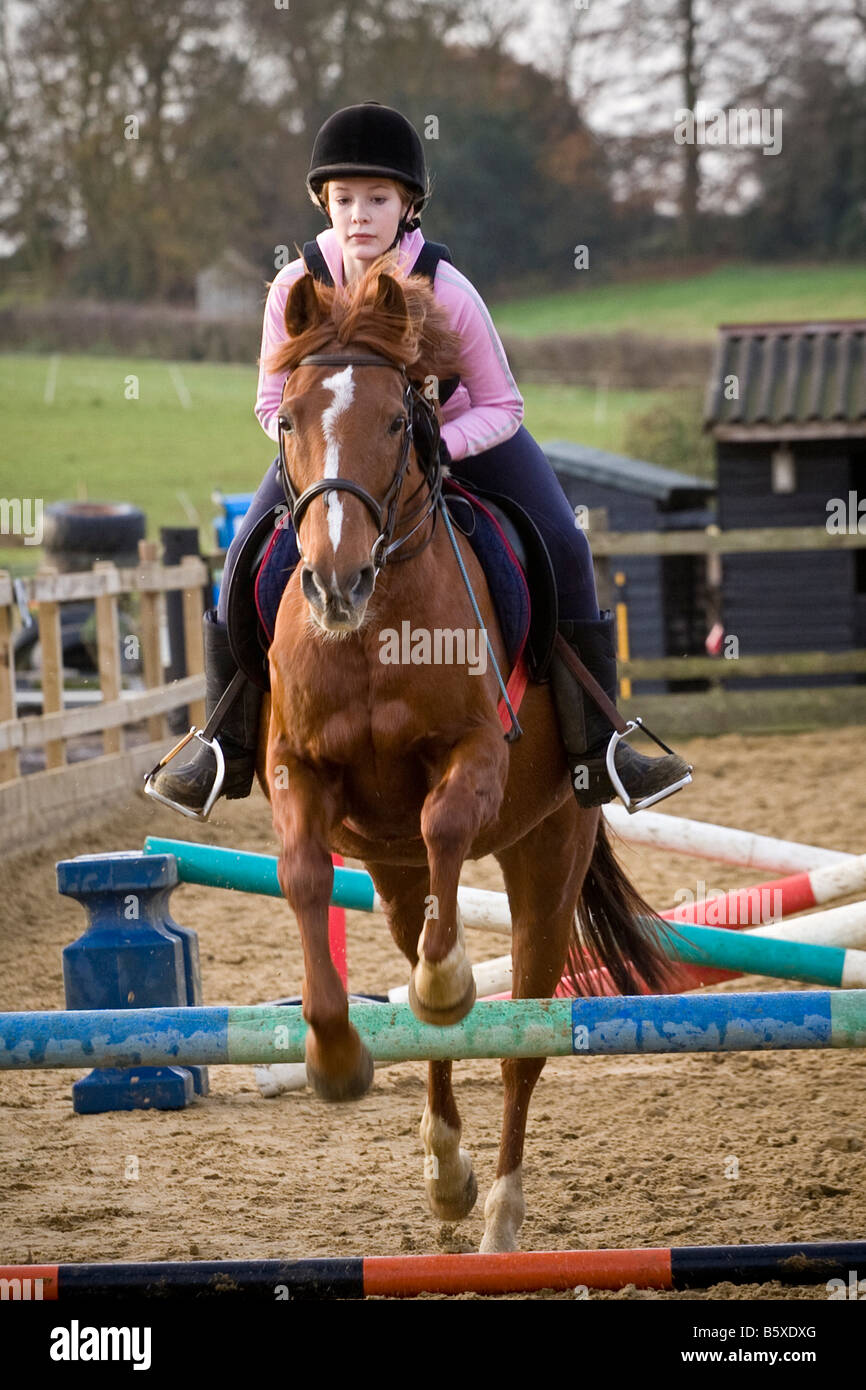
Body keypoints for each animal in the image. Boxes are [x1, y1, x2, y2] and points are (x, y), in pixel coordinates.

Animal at [257, 258, 670, 1251]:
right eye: (288, 419)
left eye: (397, 421)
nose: (335, 583)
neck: (372, 634)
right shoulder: (300, 770)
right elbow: (302, 876)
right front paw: (333, 1053)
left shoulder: (478, 751)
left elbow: (446, 823)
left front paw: (448, 983)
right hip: (395, 873)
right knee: (423, 993)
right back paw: (446, 1175)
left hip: (547, 860)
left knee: (519, 1040)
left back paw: (498, 1218)